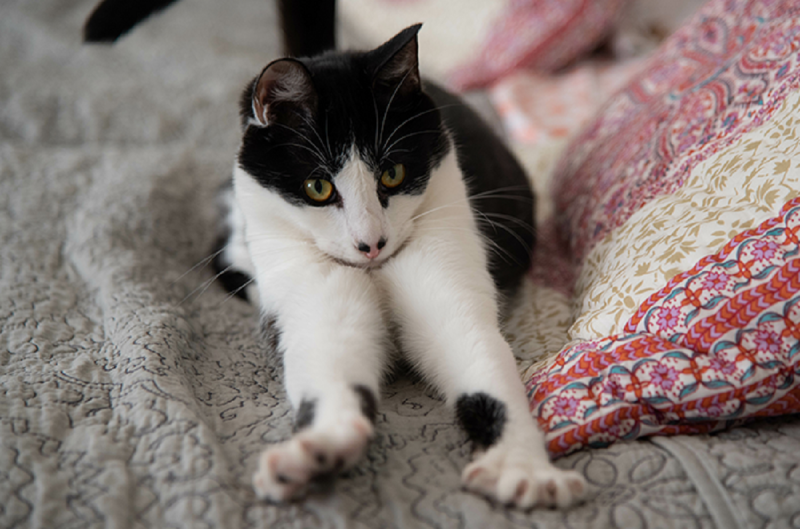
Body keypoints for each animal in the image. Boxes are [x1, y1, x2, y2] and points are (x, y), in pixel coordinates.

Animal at [216, 25, 592, 508]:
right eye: (318, 187)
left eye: (391, 174)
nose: (371, 244)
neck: (375, 272)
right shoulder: (311, 298)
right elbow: (327, 354)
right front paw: (321, 446)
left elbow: (478, 355)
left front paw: (522, 466)